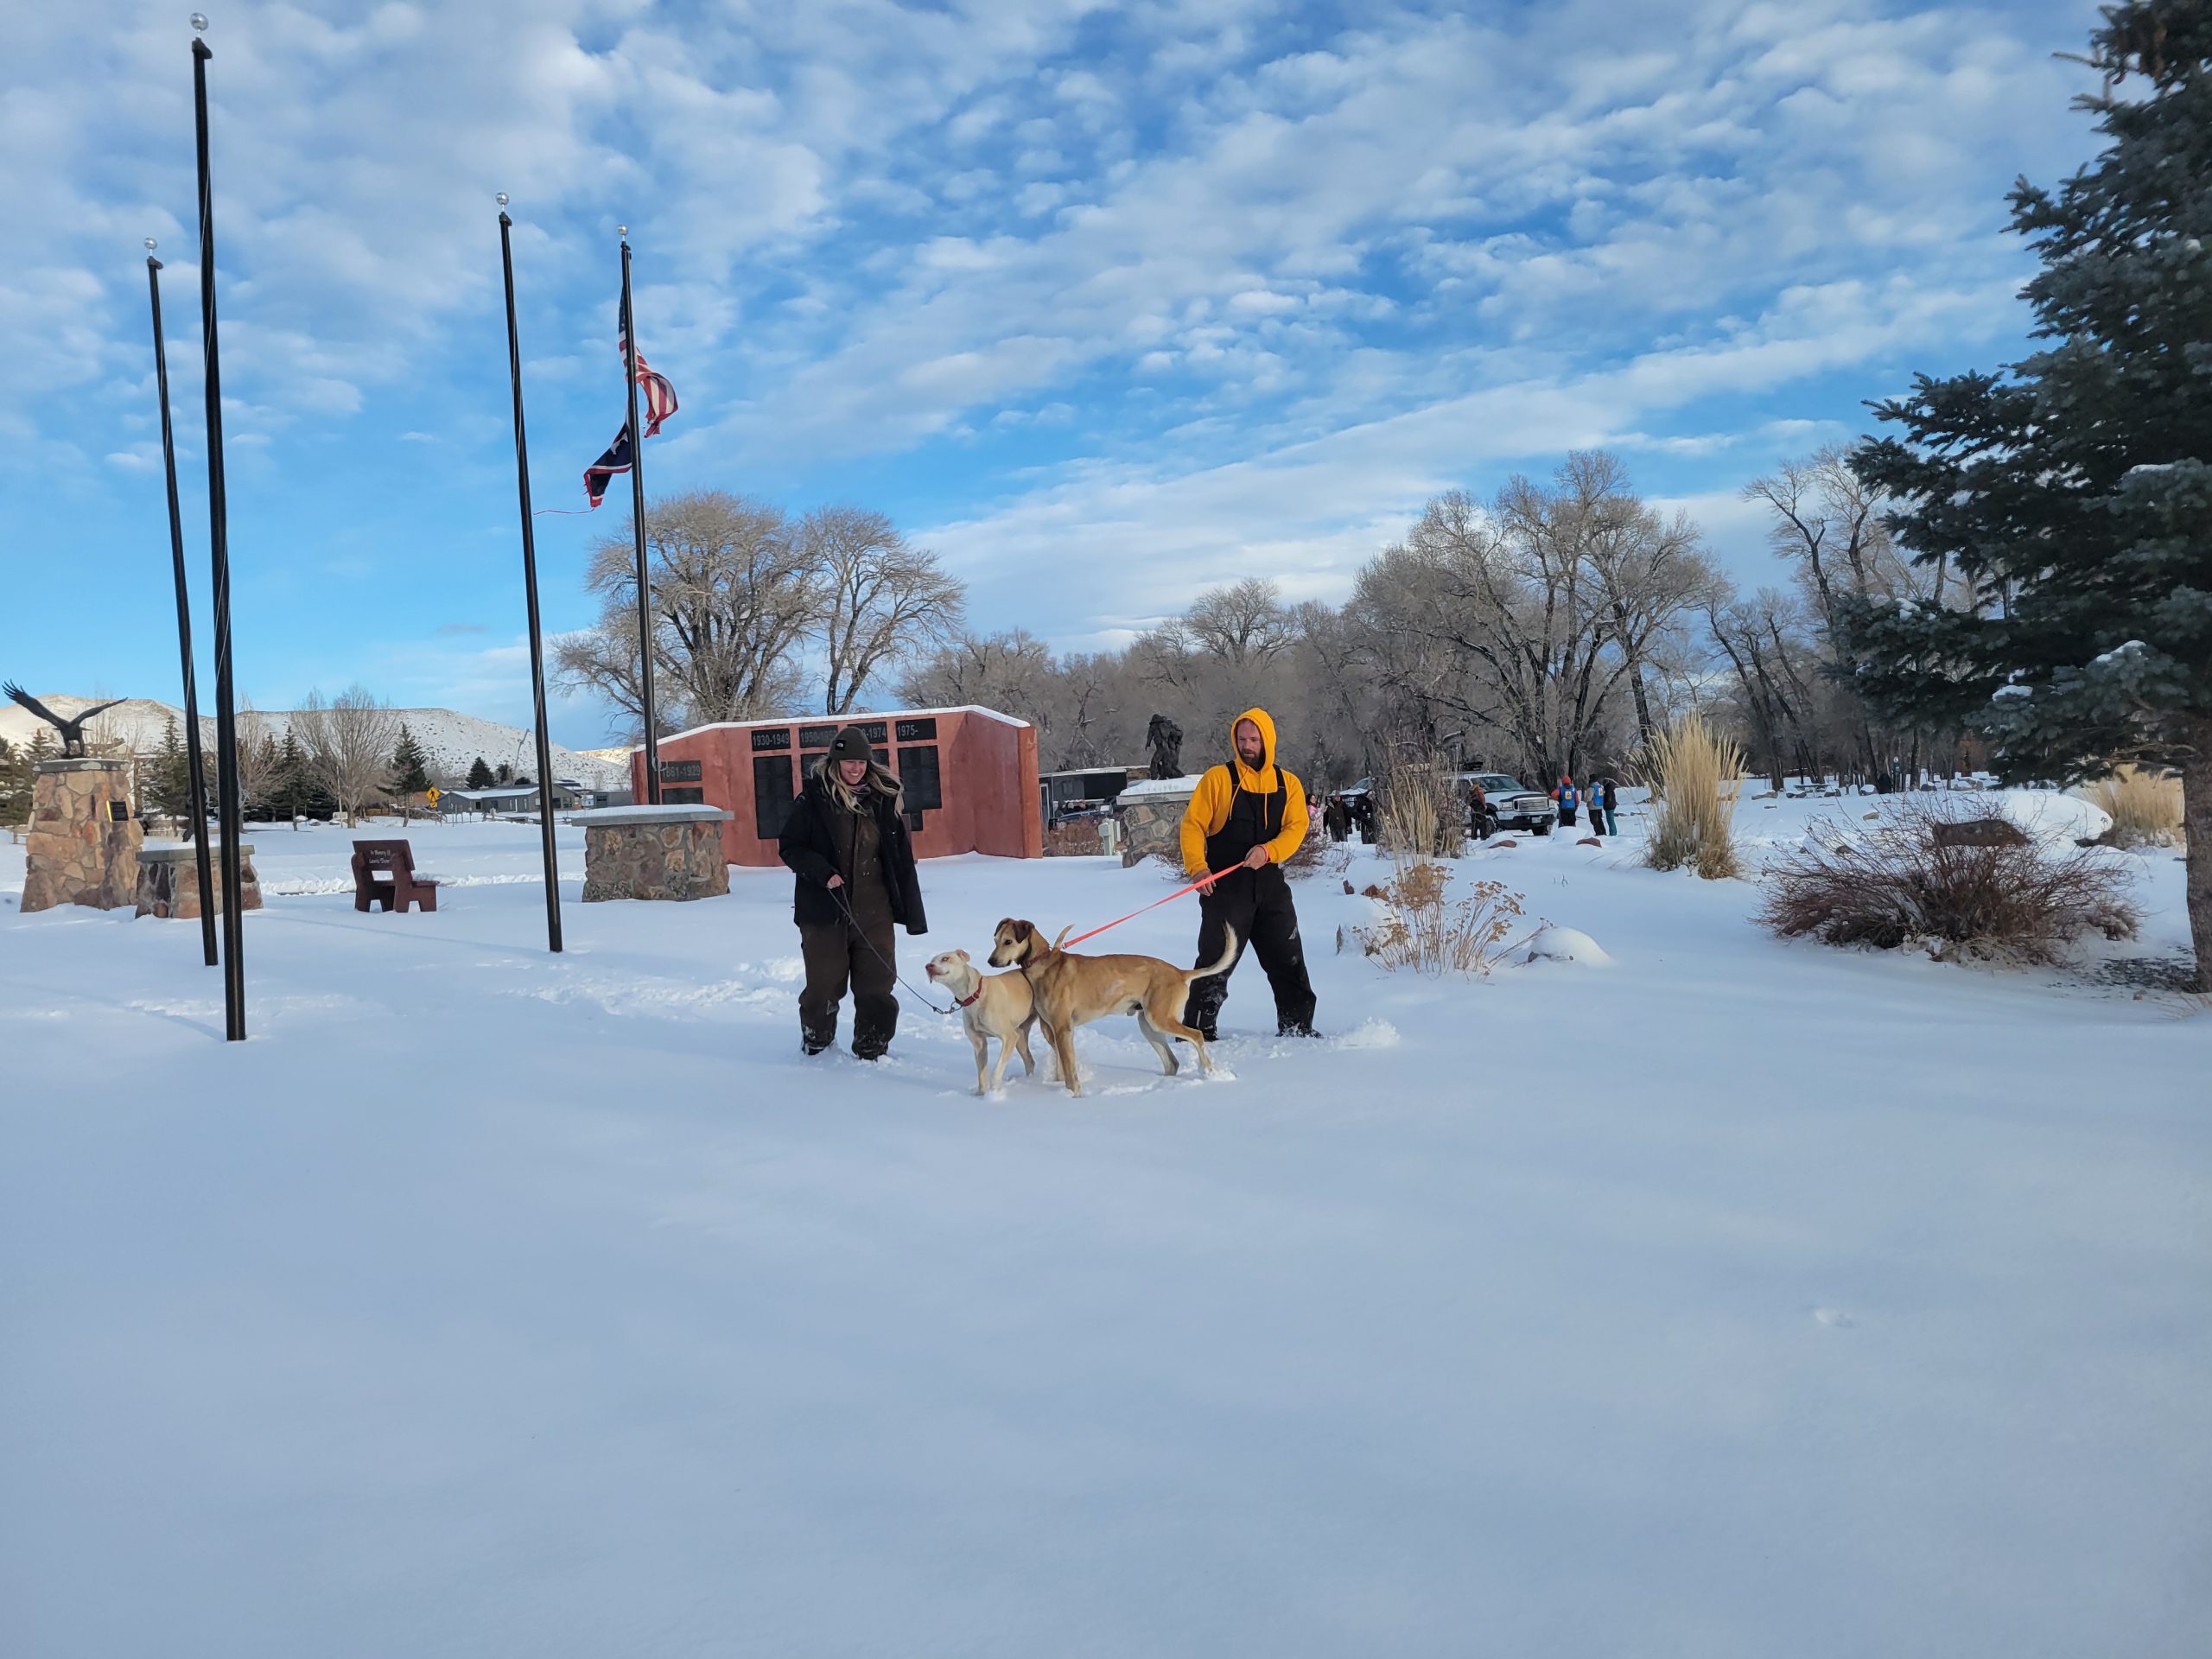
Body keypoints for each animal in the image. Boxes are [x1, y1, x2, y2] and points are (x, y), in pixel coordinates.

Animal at [925, 948, 1039, 1096]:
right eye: (932, 960)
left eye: (945, 958)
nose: (928, 966)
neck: (974, 995)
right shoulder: (979, 1043)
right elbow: (982, 1074)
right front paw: (981, 1095)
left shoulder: (1009, 1037)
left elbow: (996, 1070)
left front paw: (994, 1091)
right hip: (1020, 1036)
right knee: (1030, 1061)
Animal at [986, 919, 1237, 1096]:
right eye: (995, 939)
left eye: (1008, 941)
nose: (991, 961)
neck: (1043, 963)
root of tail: (1179, 972)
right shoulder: (1052, 1031)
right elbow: (1061, 1068)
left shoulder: (1063, 1029)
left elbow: (1069, 1071)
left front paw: (1073, 1095)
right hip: (1148, 1025)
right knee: (1172, 1063)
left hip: (1160, 1019)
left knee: (1197, 1036)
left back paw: (1209, 1072)